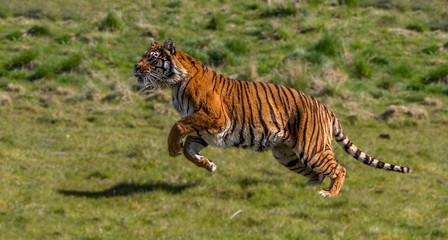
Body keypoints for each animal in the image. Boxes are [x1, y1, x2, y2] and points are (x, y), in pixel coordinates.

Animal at [134, 39, 412, 197]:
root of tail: (326, 108)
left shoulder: (213, 117)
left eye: (152, 58)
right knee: (317, 174)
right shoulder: (206, 129)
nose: (135, 67)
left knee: (338, 168)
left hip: (312, 148)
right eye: (143, 57)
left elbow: (177, 126)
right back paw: (306, 191)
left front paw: (173, 149)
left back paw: (328, 194)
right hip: (286, 154)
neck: (174, 83)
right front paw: (208, 165)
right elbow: (190, 150)